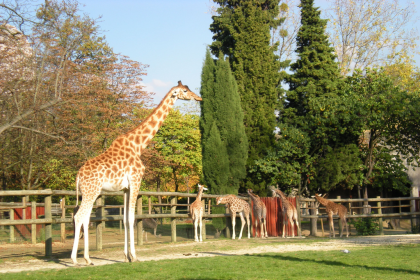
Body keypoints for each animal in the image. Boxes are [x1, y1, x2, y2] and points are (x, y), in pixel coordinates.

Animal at [70, 80, 202, 264]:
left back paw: (88, 259)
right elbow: (132, 218)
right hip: (92, 191)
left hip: (89, 193)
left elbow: (126, 219)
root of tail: (78, 176)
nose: (199, 98)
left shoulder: (126, 188)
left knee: (85, 217)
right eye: (184, 91)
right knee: (79, 216)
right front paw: (135, 256)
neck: (138, 146)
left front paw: (126, 257)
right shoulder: (136, 181)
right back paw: (75, 260)